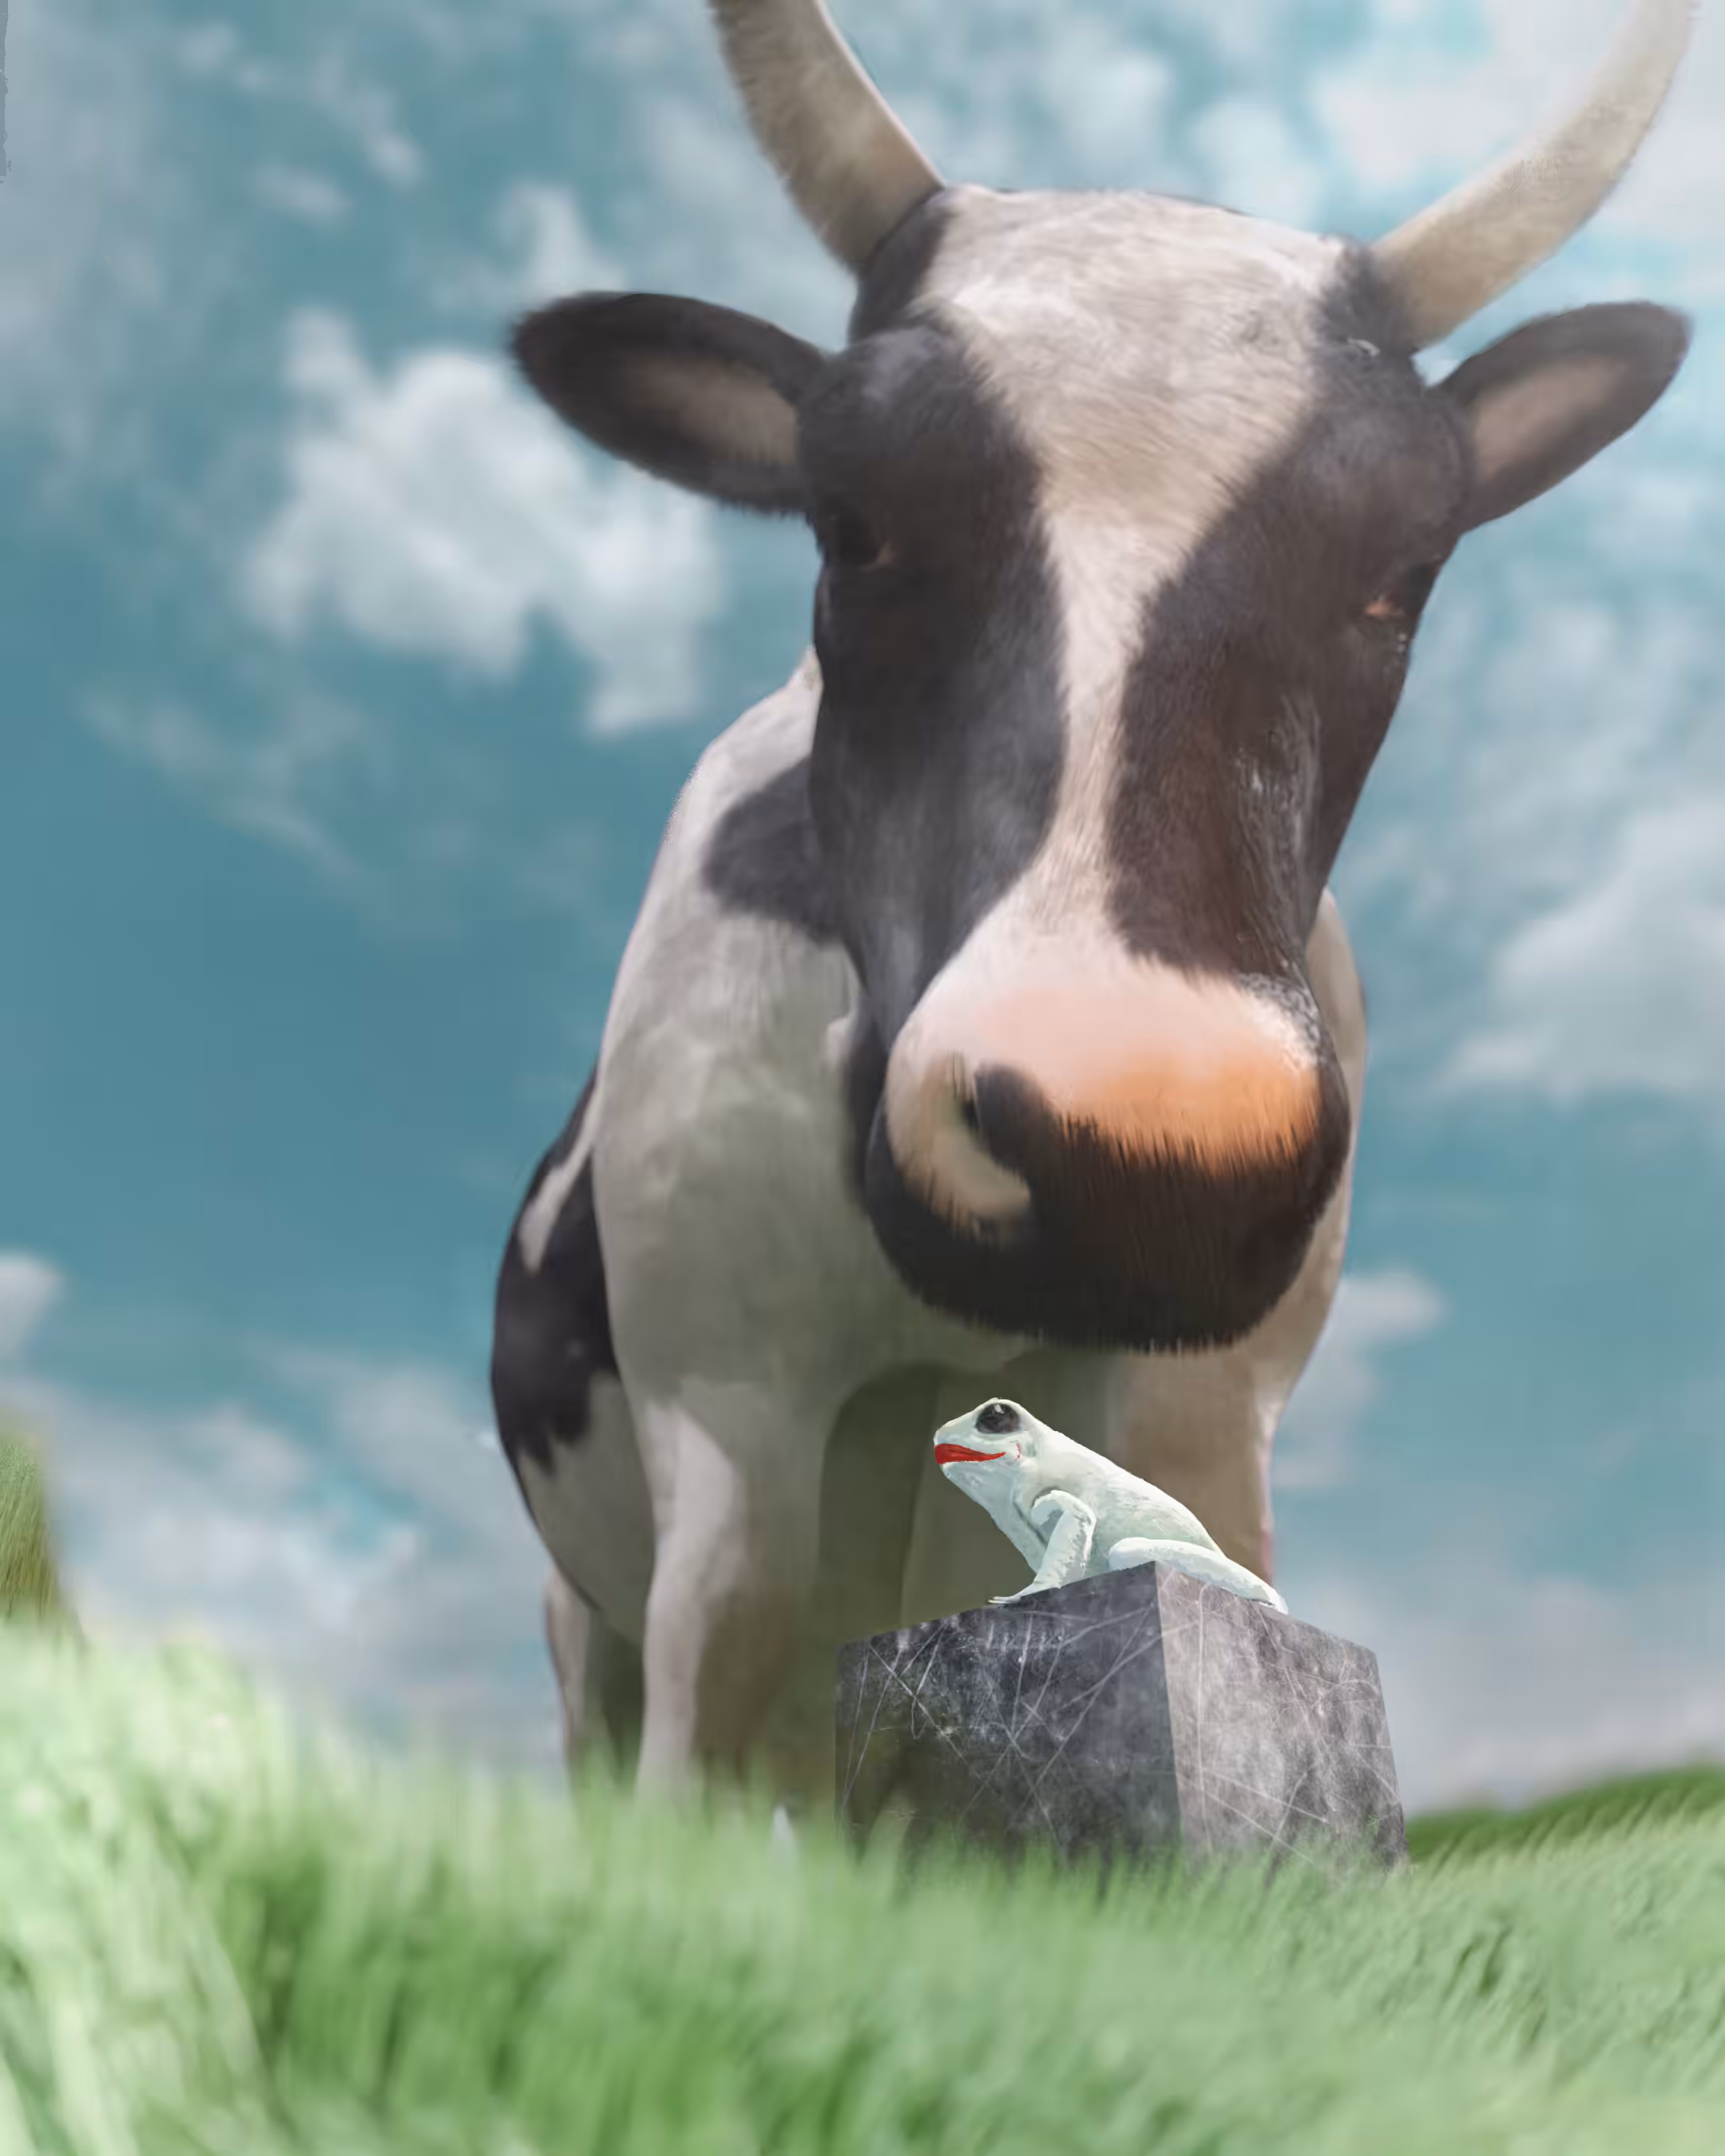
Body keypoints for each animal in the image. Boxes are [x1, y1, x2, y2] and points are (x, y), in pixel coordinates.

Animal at [490, 0, 1693, 1811]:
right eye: (849, 519)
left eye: (1404, 572)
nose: (1146, 1161)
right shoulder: (728, 1423)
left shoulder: (1210, 1405)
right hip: (589, 1616)